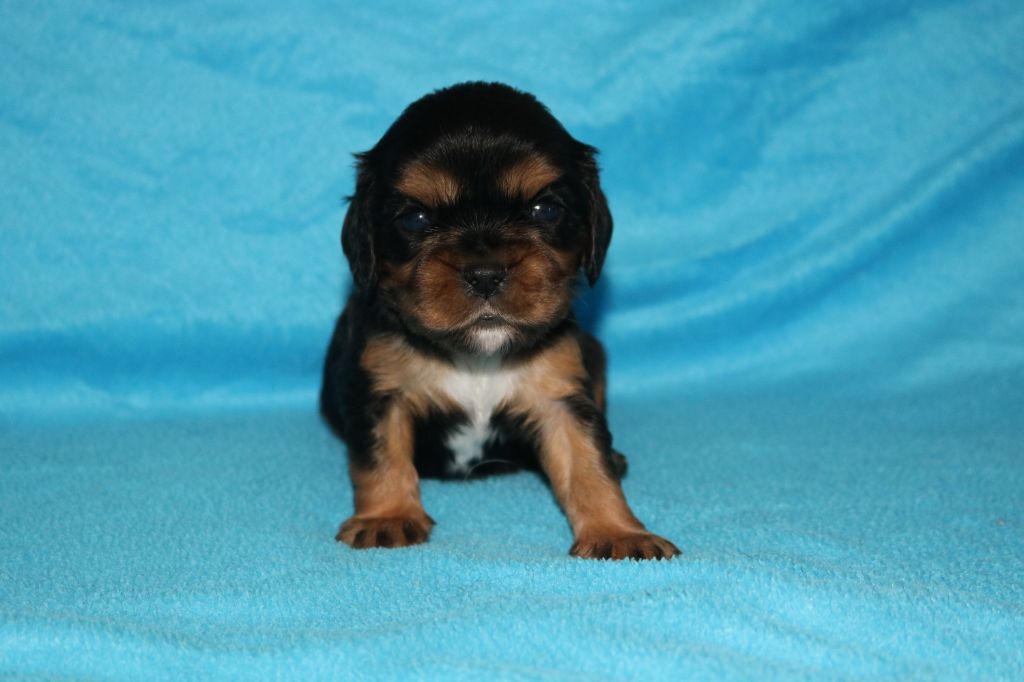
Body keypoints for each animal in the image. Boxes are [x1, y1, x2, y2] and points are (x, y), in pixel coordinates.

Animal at [320, 82, 679, 560]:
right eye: (414, 218)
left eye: (546, 210)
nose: (486, 273)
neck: (477, 353)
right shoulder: (380, 392)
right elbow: (381, 458)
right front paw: (387, 518)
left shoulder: (561, 394)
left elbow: (588, 463)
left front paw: (620, 534)